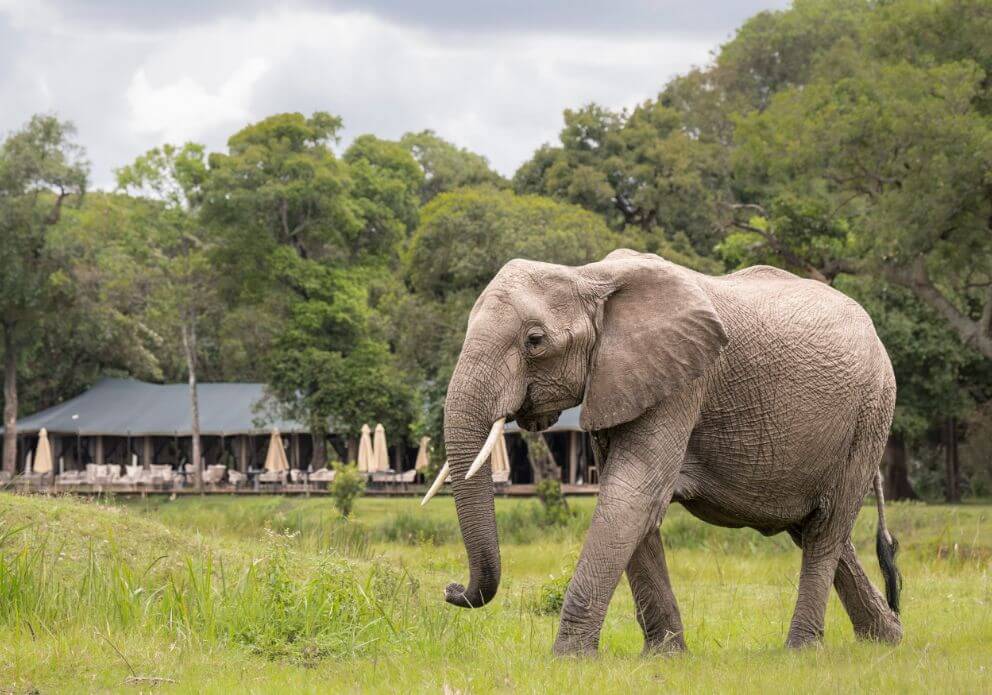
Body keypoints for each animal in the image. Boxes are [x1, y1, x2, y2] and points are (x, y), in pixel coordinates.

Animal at [423, 248, 903, 656]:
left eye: (535, 341)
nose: (450, 589)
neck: (587, 276)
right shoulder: (622, 381)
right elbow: (632, 503)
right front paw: (665, 657)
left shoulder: (684, 381)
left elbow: (632, 494)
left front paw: (569, 660)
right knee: (817, 529)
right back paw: (886, 640)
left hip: (871, 412)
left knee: (826, 529)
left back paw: (802, 651)